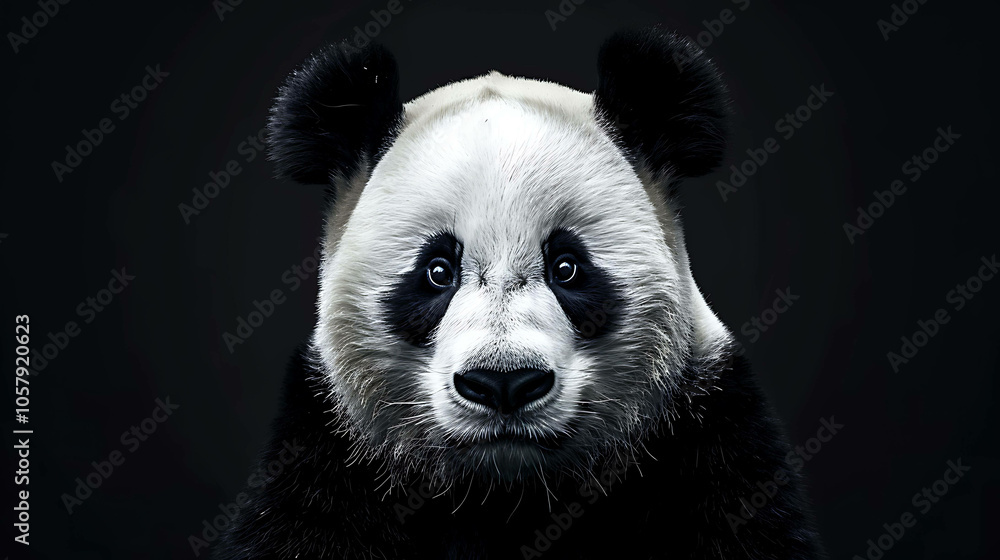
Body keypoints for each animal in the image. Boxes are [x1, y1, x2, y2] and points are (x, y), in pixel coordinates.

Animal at [214, 27, 823, 559]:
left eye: (567, 268)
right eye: (438, 271)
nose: (503, 383)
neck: (507, 493)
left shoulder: (706, 437)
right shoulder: (328, 453)